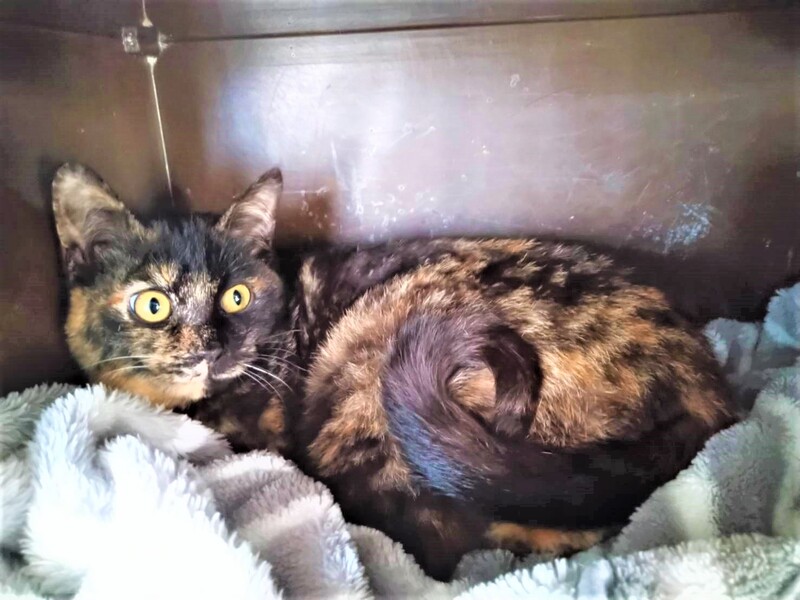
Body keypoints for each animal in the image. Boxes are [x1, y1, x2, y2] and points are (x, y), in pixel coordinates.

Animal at [52, 163, 736, 580]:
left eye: (237, 297)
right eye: (153, 303)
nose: (212, 348)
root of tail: (702, 379)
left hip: (372, 360)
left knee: (437, 536)